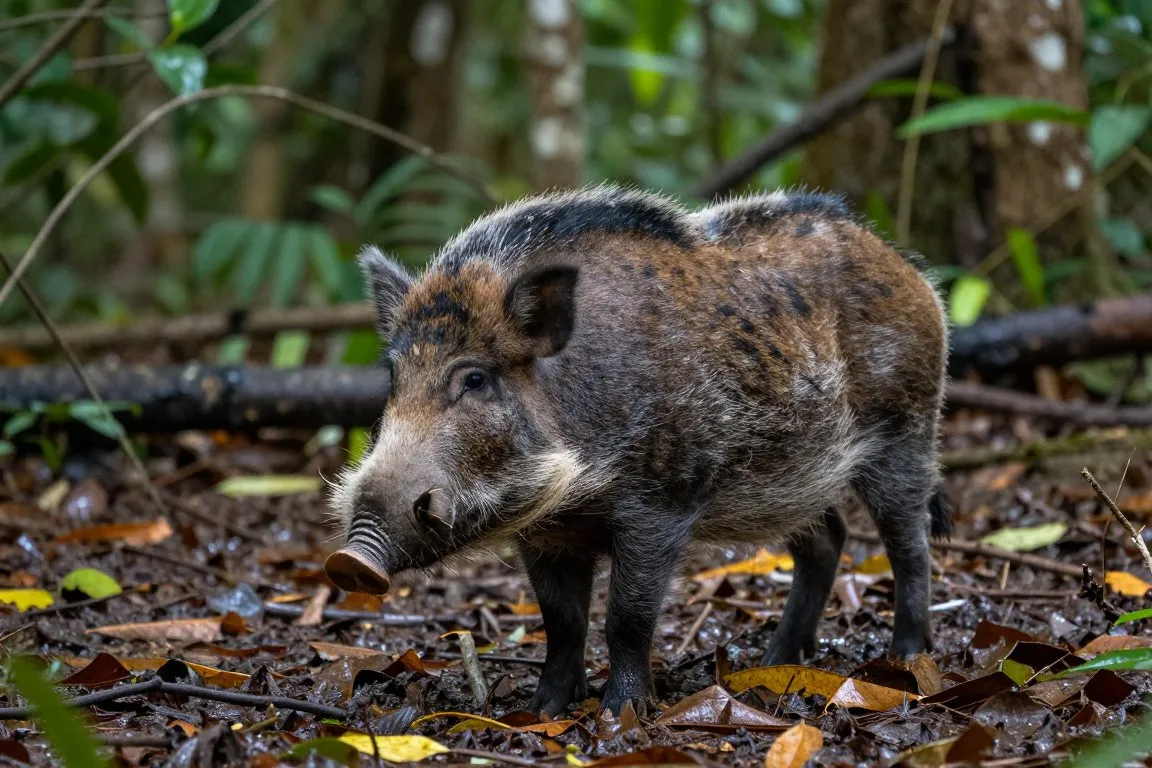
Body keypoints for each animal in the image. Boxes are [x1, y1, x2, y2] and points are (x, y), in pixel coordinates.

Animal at [325, 185, 951, 716]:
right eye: (393, 377)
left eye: (474, 379)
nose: (350, 561)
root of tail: (913, 273)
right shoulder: (546, 535)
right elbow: (563, 622)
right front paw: (541, 713)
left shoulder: (661, 506)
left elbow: (626, 617)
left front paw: (619, 713)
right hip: (799, 476)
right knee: (827, 540)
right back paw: (775, 663)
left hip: (907, 426)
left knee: (909, 539)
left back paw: (906, 657)